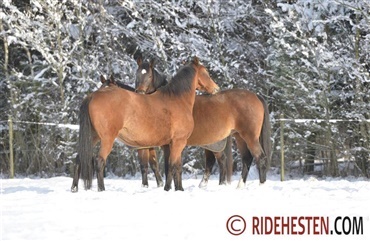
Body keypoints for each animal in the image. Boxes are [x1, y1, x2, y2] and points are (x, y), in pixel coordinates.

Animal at [70, 57, 218, 191]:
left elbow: (171, 166)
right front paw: (174, 188)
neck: (177, 99)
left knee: (78, 159)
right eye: (206, 73)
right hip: (107, 139)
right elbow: (174, 166)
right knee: (99, 161)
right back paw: (101, 189)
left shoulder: (168, 144)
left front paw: (172, 188)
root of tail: (93, 95)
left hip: (92, 137)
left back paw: (74, 188)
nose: (216, 89)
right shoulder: (178, 142)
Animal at [136, 60, 272, 188]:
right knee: (246, 159)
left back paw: (261, 185)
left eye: (149, 76)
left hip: (249, 137)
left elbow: (163, 166)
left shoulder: (166, 145)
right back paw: (238, 185)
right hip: (238, 137)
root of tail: (256, 96)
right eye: (137, 74)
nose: (139, 92)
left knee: (259, 158)